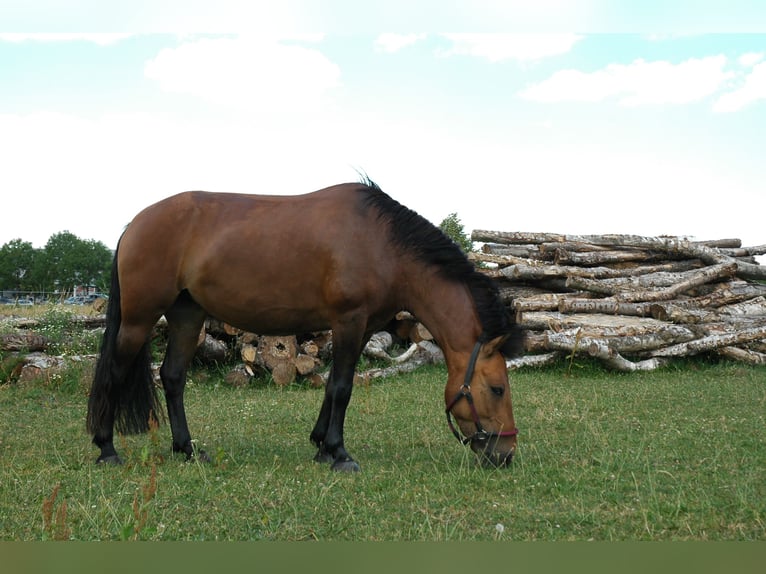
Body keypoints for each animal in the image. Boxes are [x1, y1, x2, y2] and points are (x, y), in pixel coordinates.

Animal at [86, 178, 523, 471]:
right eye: (497, 389)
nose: (505, 455)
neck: (384, 244)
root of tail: (135, 224)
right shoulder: (349, 321)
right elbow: (344, 387)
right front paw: (340, 454)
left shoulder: (361, 328)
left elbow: (333, 385)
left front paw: (321, 446)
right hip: (140, 319)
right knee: (114, 372)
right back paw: (107, 450)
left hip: (187, 317)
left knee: (173, 377)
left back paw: (188, 450)